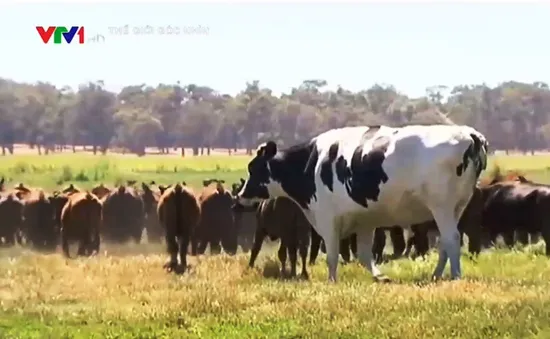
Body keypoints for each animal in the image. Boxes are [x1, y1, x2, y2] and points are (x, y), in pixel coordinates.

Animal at [237, 126, 492, 282]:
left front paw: (332, 281)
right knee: (445, 243)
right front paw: (380, 277)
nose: (240, 196)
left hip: (442, 206)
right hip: (456, 207)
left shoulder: (327, 217)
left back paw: (455, 276)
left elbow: (332, 255)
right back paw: (437, 274)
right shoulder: (365, 221)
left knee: (452, 239)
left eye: (253, 168)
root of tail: (470, 134)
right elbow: (363, 255)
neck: (311, 164)